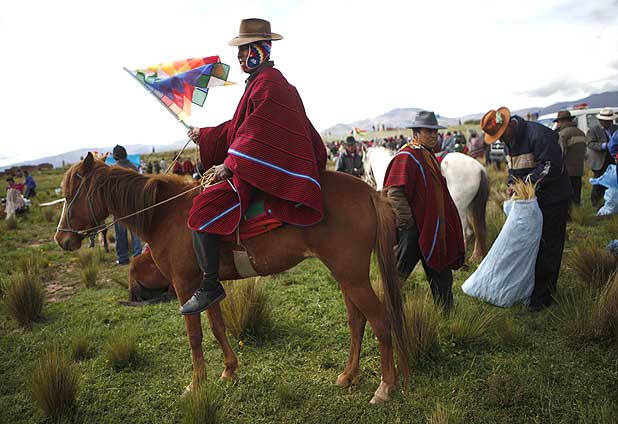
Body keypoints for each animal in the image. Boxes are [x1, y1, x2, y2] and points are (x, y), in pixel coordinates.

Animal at [54, 152, 409, 405]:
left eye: (71, 194)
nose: (61, 239)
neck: (165, 215)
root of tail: (370, 192)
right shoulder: (205, 286)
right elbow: (216, 326)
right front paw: (228, 370)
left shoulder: (184, 285)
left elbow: (194, 335)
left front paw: (195, 383)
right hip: (347, 275)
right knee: (357, 321)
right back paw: (349, 376)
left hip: (353, 276)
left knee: (380, 321)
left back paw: (385, 387)